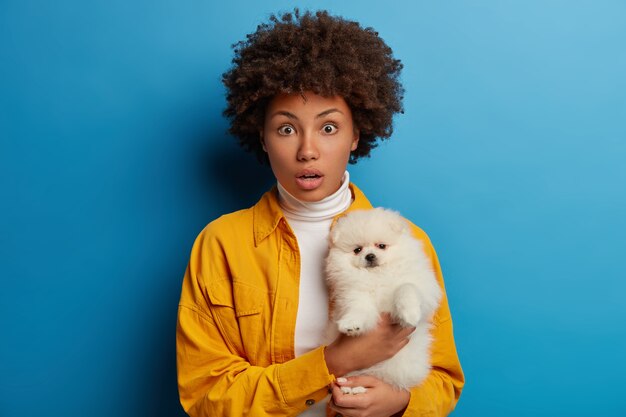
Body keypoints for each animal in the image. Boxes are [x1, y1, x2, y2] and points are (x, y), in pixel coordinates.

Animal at [324, 208, 442, 394]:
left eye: (381, 246)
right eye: (357, 250)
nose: (370, 256)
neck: (378, 275)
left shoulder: (423, 287)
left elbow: (407, 287)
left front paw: (409, 313)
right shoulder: (354, 293)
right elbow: (358, 307)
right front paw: (352, 324)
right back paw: (351, 388)